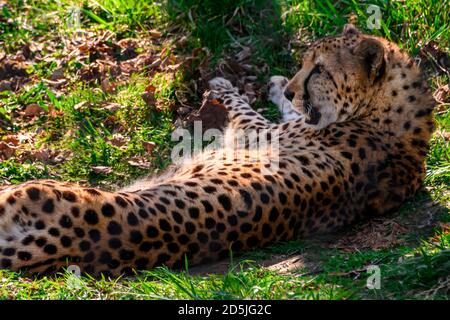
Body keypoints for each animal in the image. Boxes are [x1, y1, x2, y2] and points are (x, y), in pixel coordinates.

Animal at [0, 25, 436, 276]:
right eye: (306, 63)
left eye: (320, 70)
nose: (294, 88)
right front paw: (277, 86)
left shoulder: (256, 132)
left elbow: (245, 108)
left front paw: (235, 86)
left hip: (29, 191)